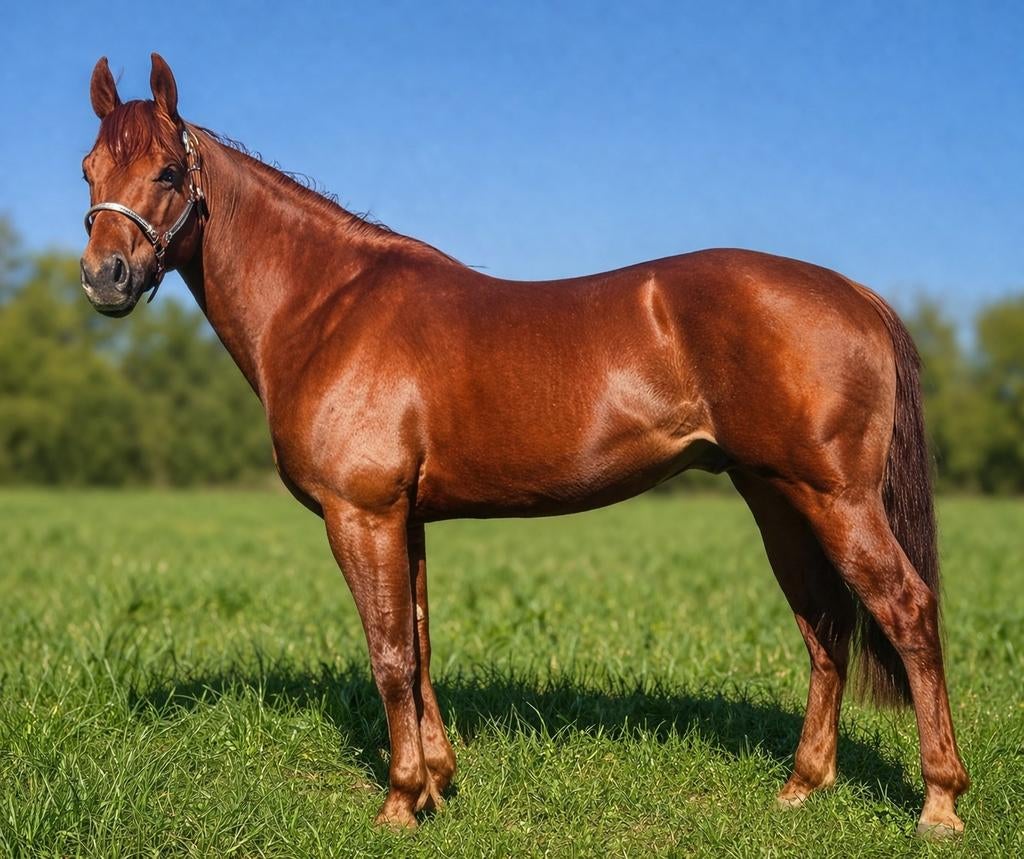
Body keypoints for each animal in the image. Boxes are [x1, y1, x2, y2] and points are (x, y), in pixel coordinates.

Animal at [78, 54, 969, 837]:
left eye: (167, 172)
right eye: (88, 169)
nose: (104, 277)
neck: (329, 305)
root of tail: (853, 292)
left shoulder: (361, 513)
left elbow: (389, 654)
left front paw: (399, 801)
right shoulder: (407, 518)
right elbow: (421, 644)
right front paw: (438, 783)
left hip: (835, 499)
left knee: (906, 609)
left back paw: (939, 802)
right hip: (777, 497)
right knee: (824, 624)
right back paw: (803, 785)